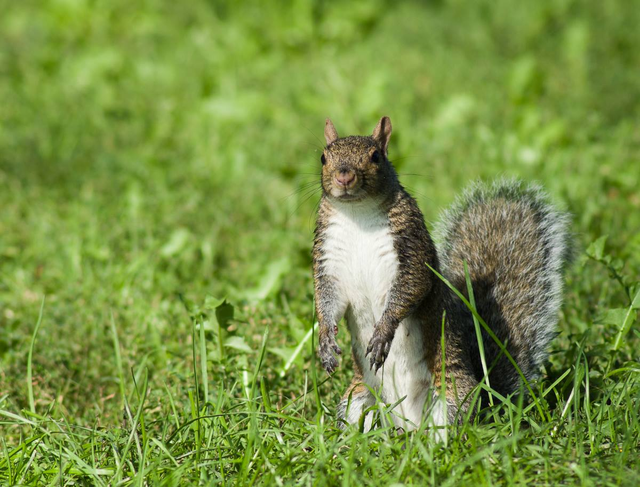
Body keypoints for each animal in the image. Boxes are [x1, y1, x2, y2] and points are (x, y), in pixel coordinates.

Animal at [314, 116, 568, 432]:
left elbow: (410, 289)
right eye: (323, 158)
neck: (357, 213)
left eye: (375, 157)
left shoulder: (412, 251)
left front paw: (383, 333)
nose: (344, 177)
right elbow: (327, 300)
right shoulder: (329, 263)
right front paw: (325, 342)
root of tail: (409, 424)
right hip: (359, 398)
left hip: (453, 396)